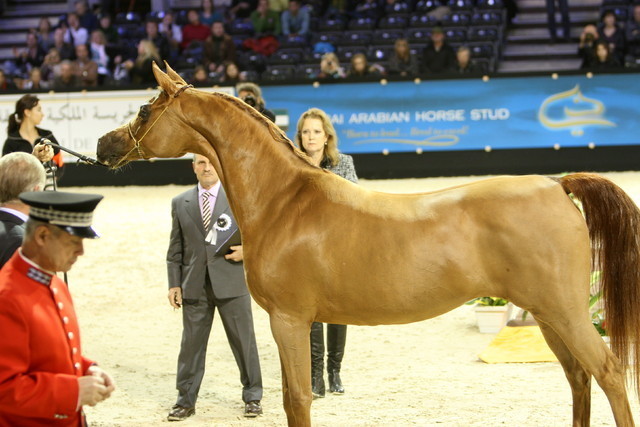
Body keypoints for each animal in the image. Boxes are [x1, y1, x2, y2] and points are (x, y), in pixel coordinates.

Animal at [96, 62, 640, 426]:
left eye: (143, 108)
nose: (104, 145)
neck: (284, 200)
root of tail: (556, 184)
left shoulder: (288, 320)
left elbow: (298, 399)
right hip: (547, 316)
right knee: (578, 379)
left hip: (565, 313)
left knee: (608, 372)